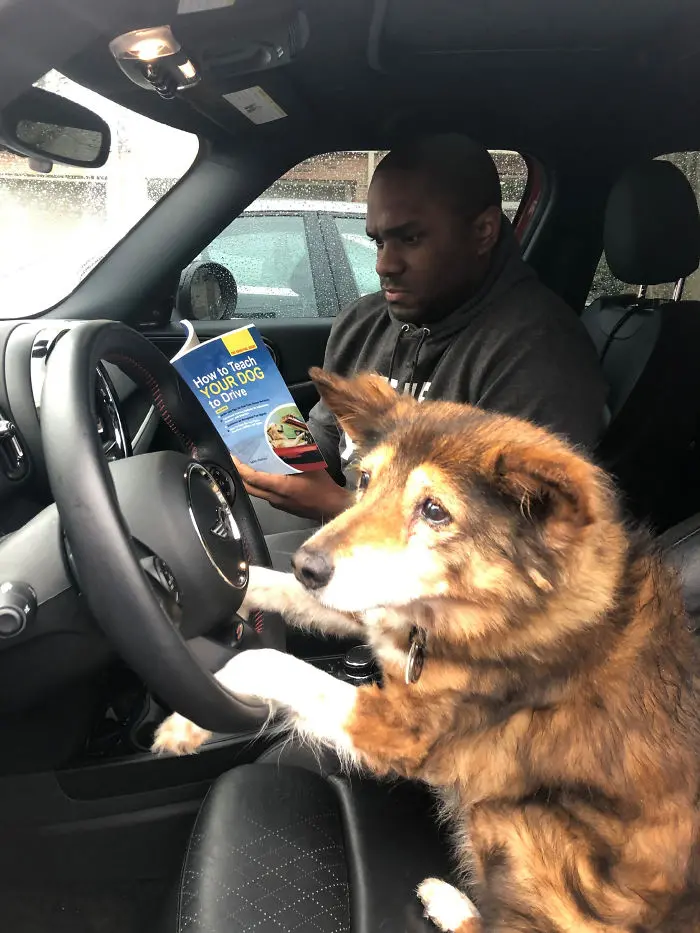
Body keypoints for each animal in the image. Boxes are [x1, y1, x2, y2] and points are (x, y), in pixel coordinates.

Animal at [152, 368, 700, 928]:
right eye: (365, 481)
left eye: (435, 510)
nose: (306, 564)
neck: (487, 608)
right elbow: (269, 590)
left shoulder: (402, 731)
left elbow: (267, 662)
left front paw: (184, 720)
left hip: (518, 819)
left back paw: (449, 904)